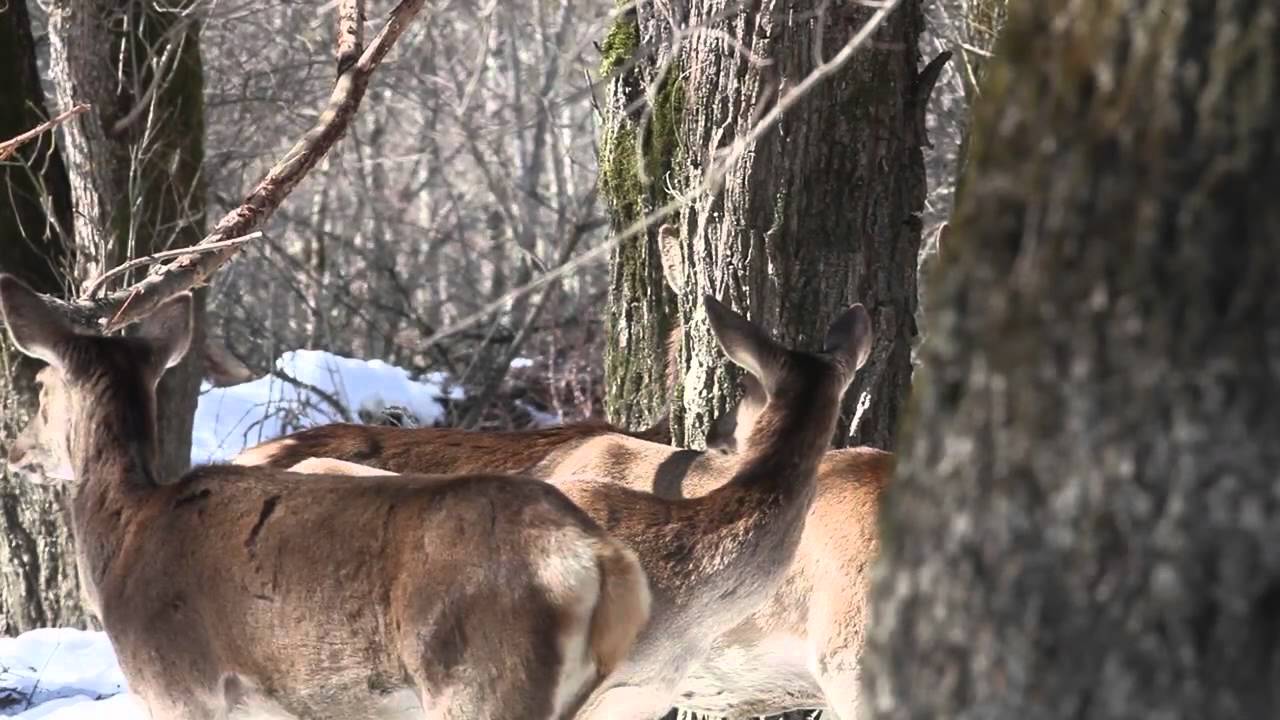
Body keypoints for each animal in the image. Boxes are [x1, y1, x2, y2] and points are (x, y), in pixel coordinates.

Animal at [0, 274, 650, 720]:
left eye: (41, 385)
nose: (16, 448)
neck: (125, 537)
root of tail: (602, 562)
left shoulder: (178, 686)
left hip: (483, 677)